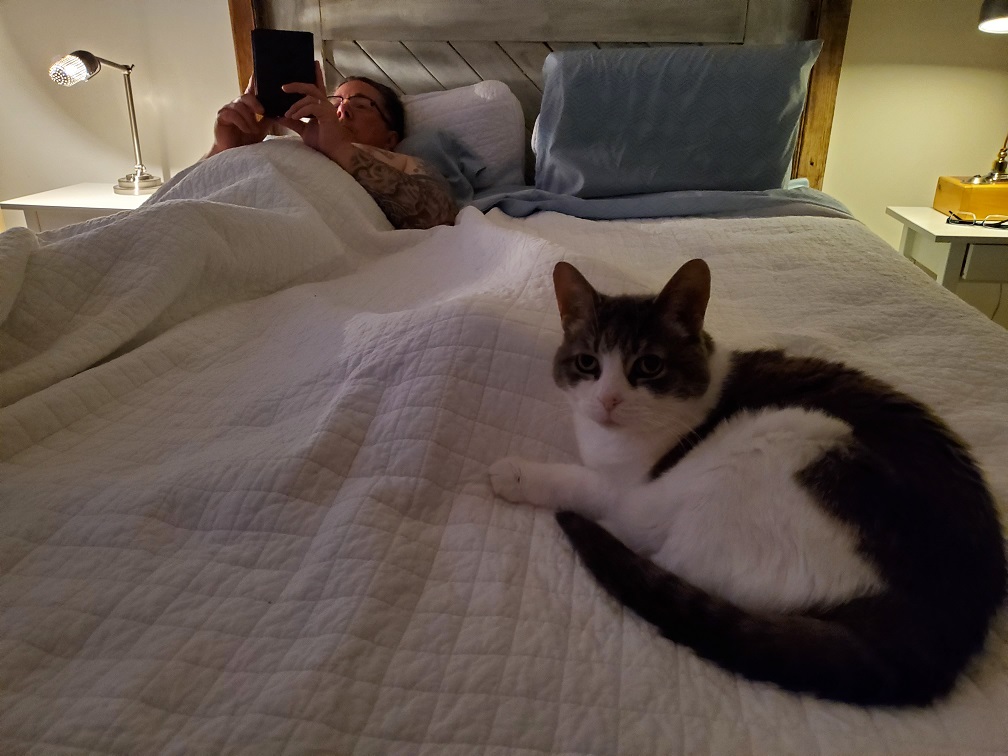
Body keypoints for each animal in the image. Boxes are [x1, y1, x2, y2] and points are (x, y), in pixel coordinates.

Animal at [485, 260, 999, 709]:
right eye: (588, 363)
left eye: (648, 366)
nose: (608, 400)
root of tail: (944, 620)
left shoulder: (630, 490)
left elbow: (580, 481)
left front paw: (514, 473)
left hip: (778, 437)